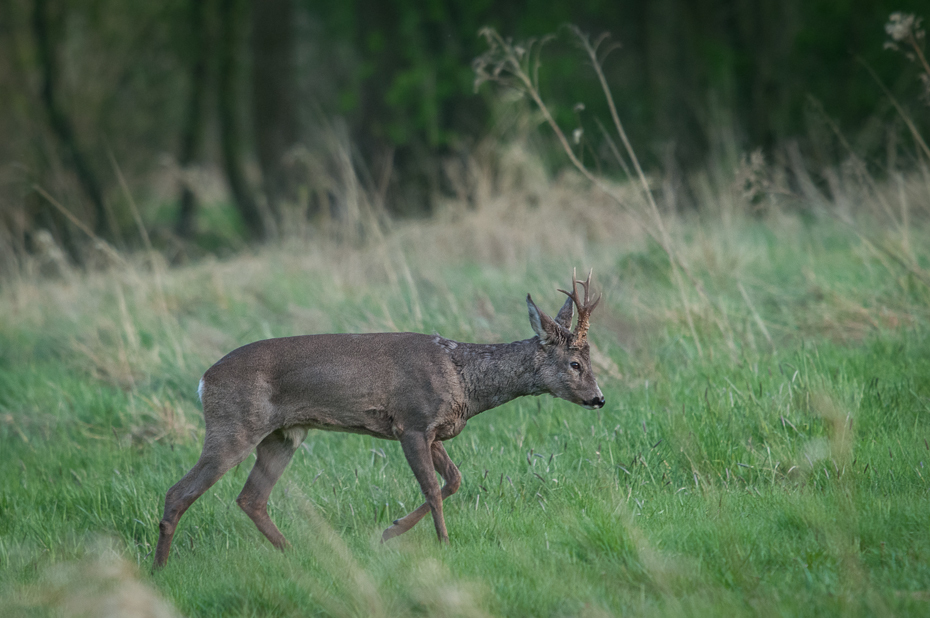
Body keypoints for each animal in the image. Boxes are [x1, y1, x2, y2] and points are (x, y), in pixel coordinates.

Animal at [154, 268, 600, 564]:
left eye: (590, 360)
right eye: (575, 363)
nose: (599, 398)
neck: (463, 377)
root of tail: (204, 380)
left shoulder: (435, 432)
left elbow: (454, 480)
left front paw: (391, 531)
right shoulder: (412, 423)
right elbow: (433, 488)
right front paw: (441, 543)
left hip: (283, 436)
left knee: (251, 498)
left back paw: (297, 555)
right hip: (234, 426)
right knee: (178, 492)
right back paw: (160, 568)